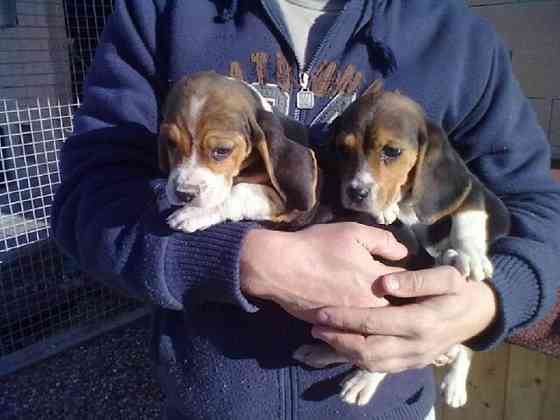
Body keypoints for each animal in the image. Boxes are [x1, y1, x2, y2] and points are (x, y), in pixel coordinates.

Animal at [160, 70, 320, 231]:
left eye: (222, 150)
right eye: (170, 142)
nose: (183, 194)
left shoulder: (290, 210)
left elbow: (238, 190)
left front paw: (193, 213)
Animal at [296, 81, 510, 406]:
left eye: (392, 151)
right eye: (343, 150)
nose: (355, 192)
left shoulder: (472, 189)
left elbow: (468, 217)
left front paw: (469, 255)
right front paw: (386, 210)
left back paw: (449, 382)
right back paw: (323, 354)